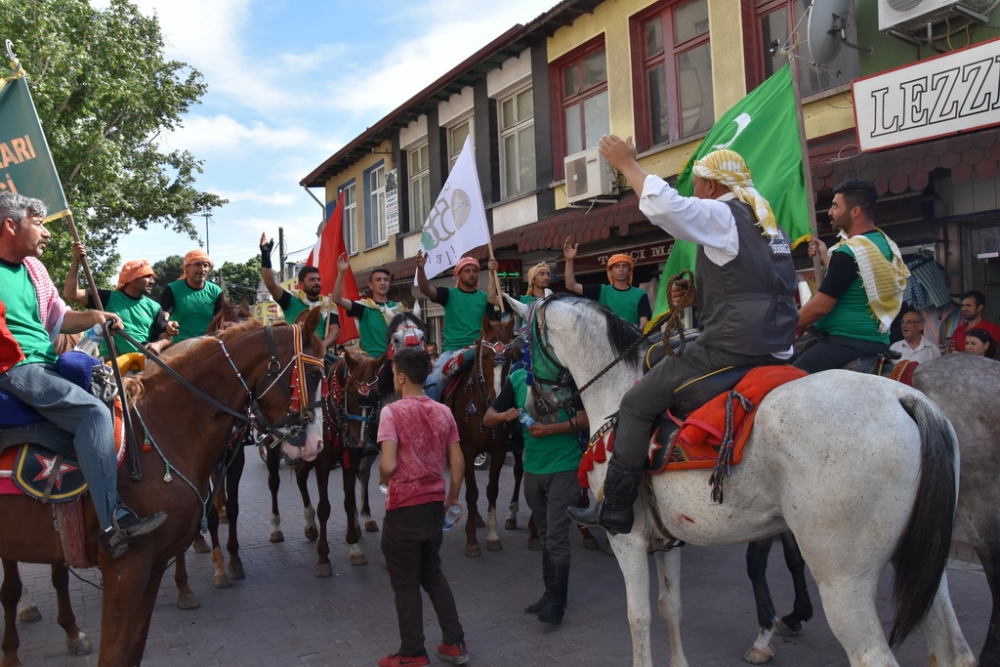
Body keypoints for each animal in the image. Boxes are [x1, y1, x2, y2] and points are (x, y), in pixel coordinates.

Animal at [0, 314, 324, 667]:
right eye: (315, 374)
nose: (316, 444)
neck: (162, 427)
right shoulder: (125, 569)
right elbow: (115, 653)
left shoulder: (152, 565)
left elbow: (133, 649)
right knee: (16, 585)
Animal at [450, 316, 520, 556]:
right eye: (486, 355)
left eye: (510, 355)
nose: (496, 401)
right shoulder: (467, 450)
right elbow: (472, 492)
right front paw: (471, 540)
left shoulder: (499, 450)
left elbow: (492, 490)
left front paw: (492, 535)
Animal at [508, 296, 968, 667]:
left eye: (520, 348)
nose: (534, 407)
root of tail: (903, 398)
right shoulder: (666, 539)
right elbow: (670, 607)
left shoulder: (628, 539)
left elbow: (638, 616)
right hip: (922, 564)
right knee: (954, 649)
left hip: (844, 580)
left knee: (872, 654)